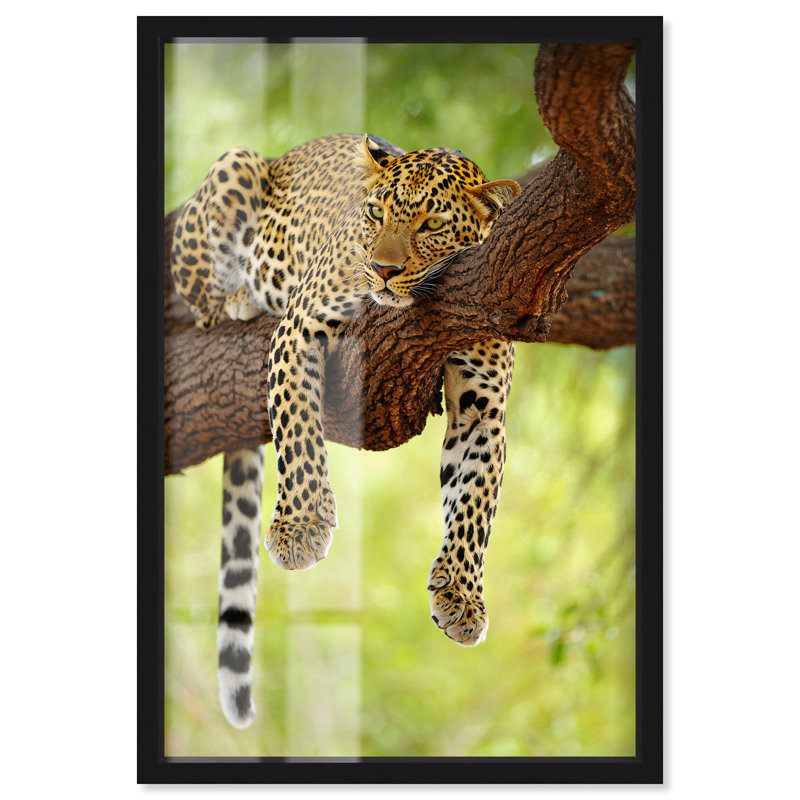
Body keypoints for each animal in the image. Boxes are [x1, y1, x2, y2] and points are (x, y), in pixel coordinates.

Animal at [170, 133, 521, 728]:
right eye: (376, 213)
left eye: (431, 223)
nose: (380, 269)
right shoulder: (298, 328)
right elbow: (296, 429)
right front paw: (300, 528)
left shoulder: (483, 406)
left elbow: (475, 504)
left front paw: (461, 596)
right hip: (235, 167)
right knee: (204, 305)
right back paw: (237, 298)